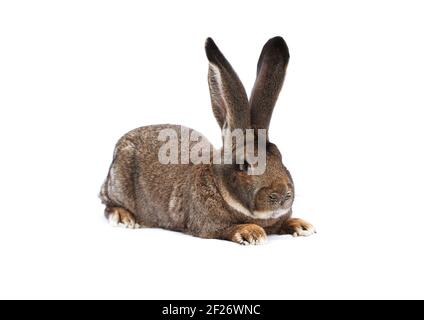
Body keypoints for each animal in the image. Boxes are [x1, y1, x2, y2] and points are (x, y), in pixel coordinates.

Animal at [100, 35, 314, 245]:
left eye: (281, 157)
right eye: (244, 165)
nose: (283, 195)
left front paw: (302, 226)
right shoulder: (209, 226)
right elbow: (227, 229)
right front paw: (251, 232)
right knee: (107, 202)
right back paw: (123, 217)